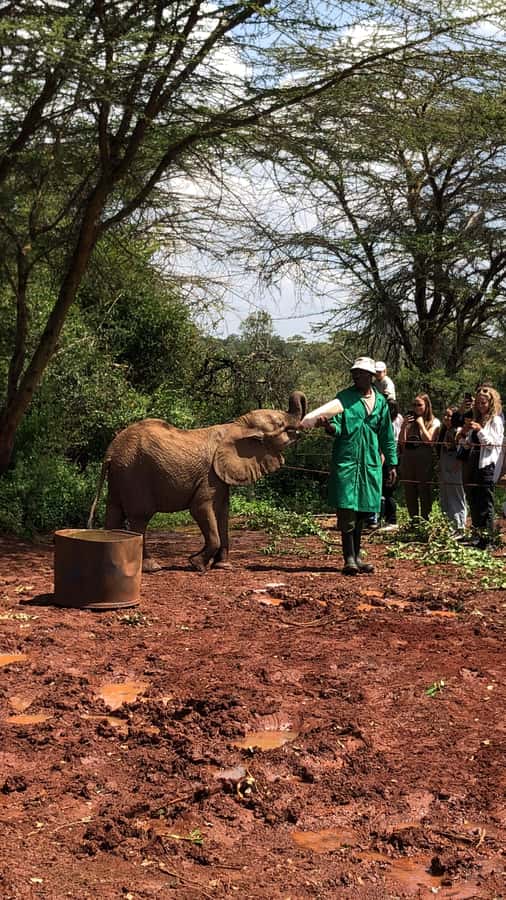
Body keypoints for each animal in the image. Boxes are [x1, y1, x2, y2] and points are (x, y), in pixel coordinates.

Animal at [87, 391, 306, 572]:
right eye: (281, 426)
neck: (235, 426)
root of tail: (110, 451)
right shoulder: (209, 475)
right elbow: (201, 508)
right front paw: (196, 564)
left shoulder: (219, 476)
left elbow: (222, 512)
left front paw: (223, 566)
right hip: (134, 474)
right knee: (139, 517)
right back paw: (151, 567)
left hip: (120, 475)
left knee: (114, 512)